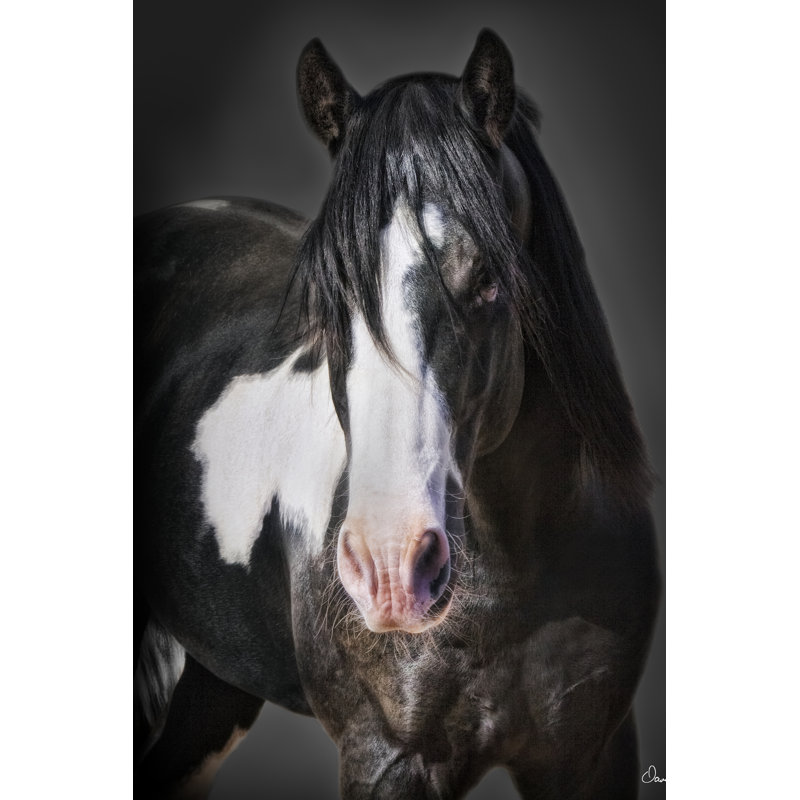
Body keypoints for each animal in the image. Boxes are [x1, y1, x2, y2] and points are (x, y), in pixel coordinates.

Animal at [134, 28, 660, 799]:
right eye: (328, 290)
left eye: (488, 279)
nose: (391, 567)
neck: (516, 574)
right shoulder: (388, 760)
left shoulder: (591, 755)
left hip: (211, 685)